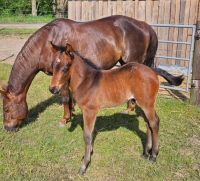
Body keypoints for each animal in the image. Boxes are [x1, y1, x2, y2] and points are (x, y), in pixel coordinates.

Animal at [0, 15, 184, 132]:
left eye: (7, 109)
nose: (8, 129)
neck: (47, 43)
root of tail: (144, 25)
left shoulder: (61, 76)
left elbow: (65, 97)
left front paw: (65, 119)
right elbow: (69, 98)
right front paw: (72, 111)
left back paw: (130, 109)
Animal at [49, 43, 160, 175]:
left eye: (66, 66)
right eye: (52, 65)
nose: (53, 89)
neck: (86, 81)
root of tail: (153, 72)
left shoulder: (90, 111)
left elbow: (87, 136)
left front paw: (84, 165)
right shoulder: (89, 113)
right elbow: (90, 133)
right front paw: (88, 155)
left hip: (147, 104)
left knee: (154, 123)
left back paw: (153, 155)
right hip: (141, 104)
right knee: (148, 123)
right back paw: (146, 153)